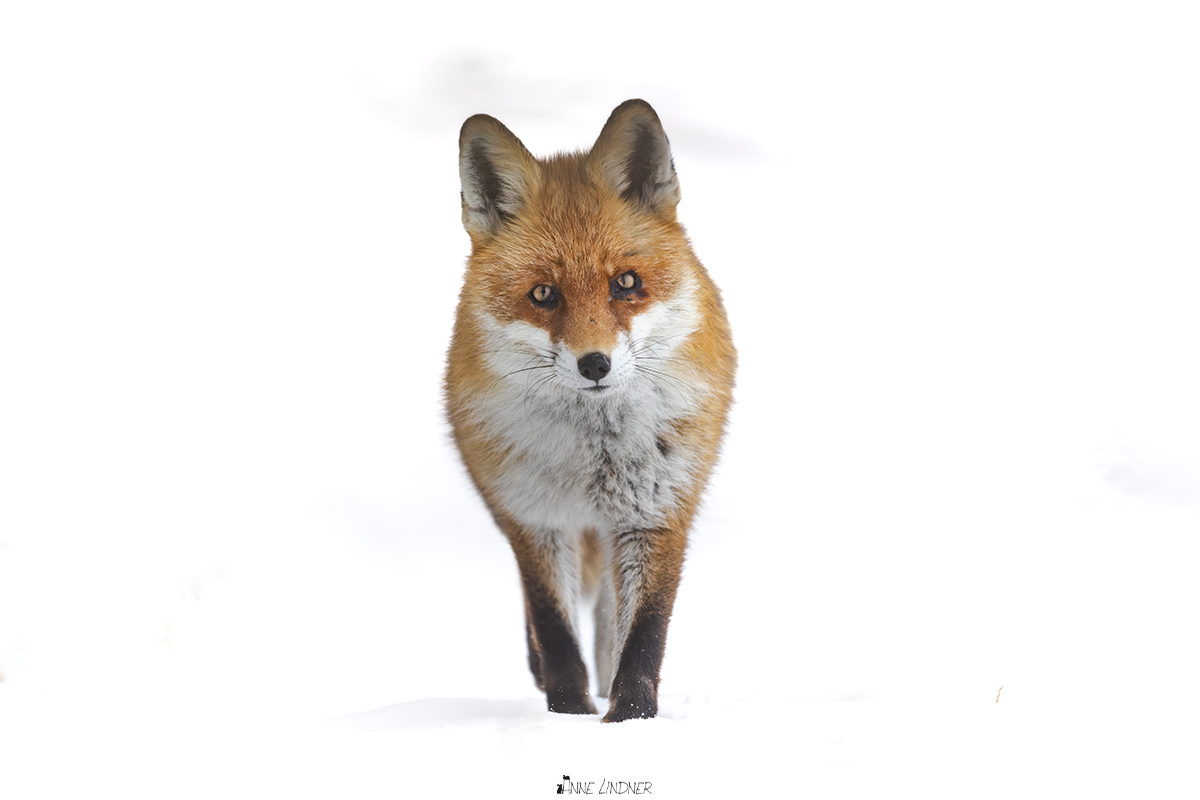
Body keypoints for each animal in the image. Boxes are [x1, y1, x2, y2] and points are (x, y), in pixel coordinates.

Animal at [445, 99, 736, 722]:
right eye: (543, 295)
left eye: (625, 283)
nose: (595, 364)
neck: (593, 454)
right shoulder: (533, 517)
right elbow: (554, 627)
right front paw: (569, 713)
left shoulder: (659, 511)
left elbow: (644, 632)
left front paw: (629, 716)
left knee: (606, 615)